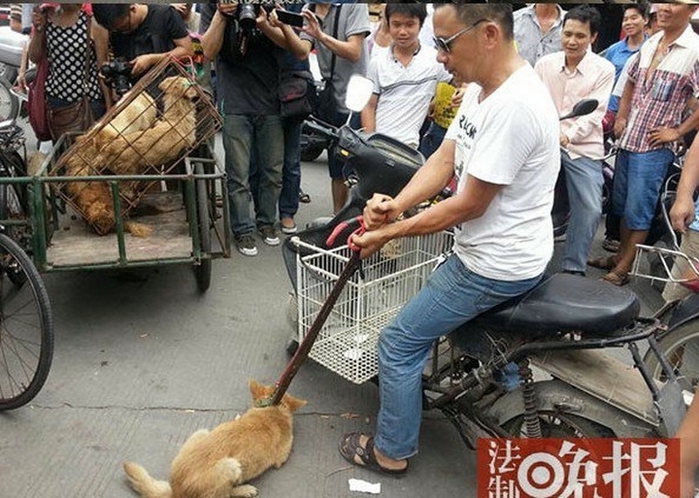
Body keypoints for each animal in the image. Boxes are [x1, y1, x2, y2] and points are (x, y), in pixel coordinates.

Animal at [122, 380, 306, 496]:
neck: (272, 409)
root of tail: (176, 491)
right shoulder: (281, 457)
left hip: (202, 432)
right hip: (232, 466)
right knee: (225, 494)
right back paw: (244, 490)